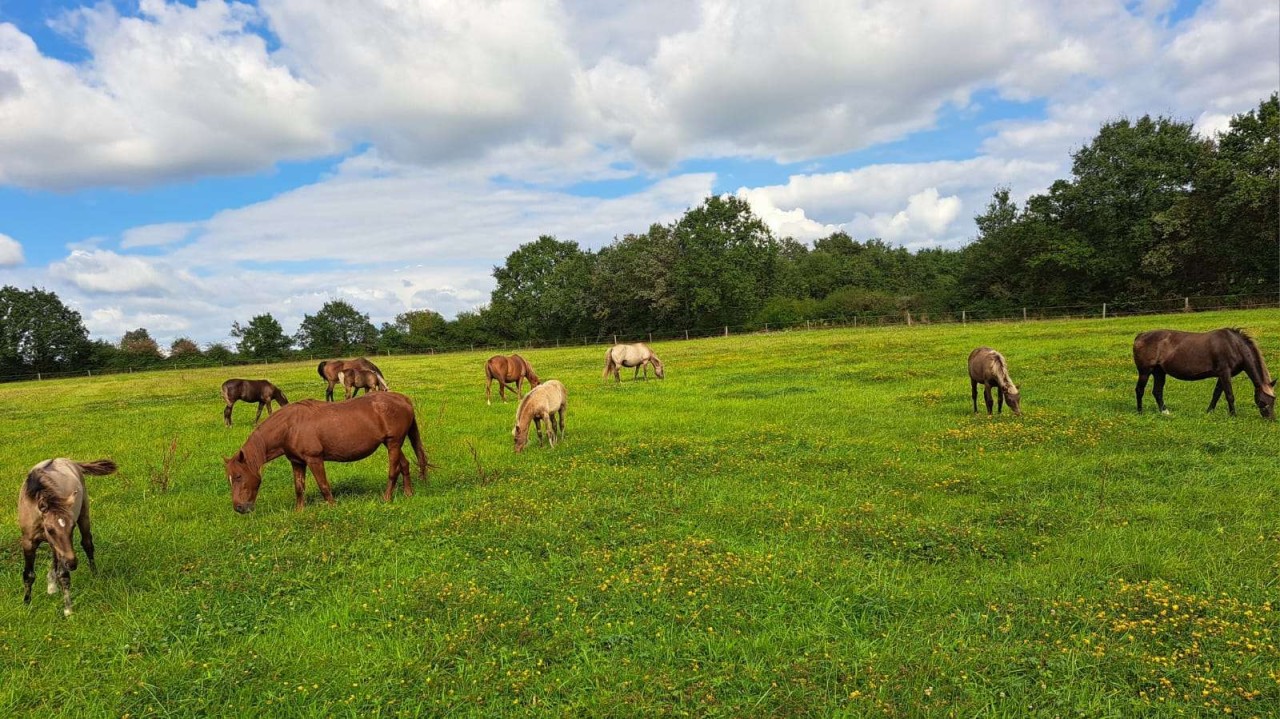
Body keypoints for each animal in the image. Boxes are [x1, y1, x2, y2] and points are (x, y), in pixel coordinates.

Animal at [18, 455, 117, 614]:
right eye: (50, 529)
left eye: (72, 527)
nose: (73, 563)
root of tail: (70, 461)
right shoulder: (28, 541)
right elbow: (28, 575)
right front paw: (26, 604)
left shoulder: (64, 548)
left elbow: (64, 575)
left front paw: (68, 609)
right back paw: (52, 586)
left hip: (84, 514)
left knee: (87, 544)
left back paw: (94, 574)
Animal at [225, 388, 430, 511]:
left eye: (238, 476)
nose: (239, 508)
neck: (290, 427)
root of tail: (404, 399)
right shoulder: (297, 462)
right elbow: (299, 487)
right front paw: (299, 511)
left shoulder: (314, 459)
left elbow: (323, 485)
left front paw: (332, 507)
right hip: (391, 443)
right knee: (404, 464)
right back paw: (408, 493)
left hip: (393, 443)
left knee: (393, 470)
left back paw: (387, 498)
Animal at [1136, 327, 1274, 417]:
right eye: (1262, 401)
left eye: (1274, 400)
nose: (1271, 419)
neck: (1234, 345)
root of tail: (1140, 336)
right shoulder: (1225, 372)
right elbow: (1229, 395)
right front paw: (1233, 415)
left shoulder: (1222, 375)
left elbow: (1216, 394)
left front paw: (1209, 411)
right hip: (1145, 372)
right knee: (1140, 390)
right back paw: (1140, 412)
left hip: (1159, 372)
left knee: (1157, 392)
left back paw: (1165, 412)